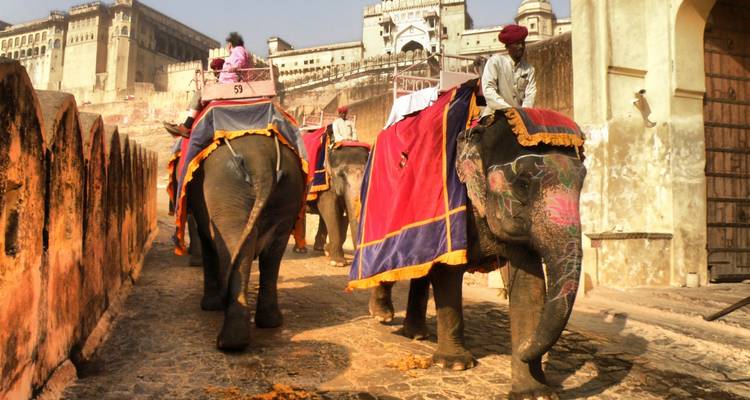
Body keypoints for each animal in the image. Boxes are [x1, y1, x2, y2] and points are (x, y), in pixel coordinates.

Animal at [188, 134, 306, 351]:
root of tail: (262, 163)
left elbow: (207, 241)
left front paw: (210, 306)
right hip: (289, 193)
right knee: (273, 252)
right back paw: (269, 322)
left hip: (225, 194)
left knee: (234, 241)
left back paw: (230, 341)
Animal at [368, 113, 586, 399]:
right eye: (523, 184)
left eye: (583, 183)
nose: (525, 349)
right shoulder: (455, 215)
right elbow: (447, 275)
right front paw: (455, 365)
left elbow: (529, 286)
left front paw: (535, 392)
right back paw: (382, 317)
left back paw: (415, 335)